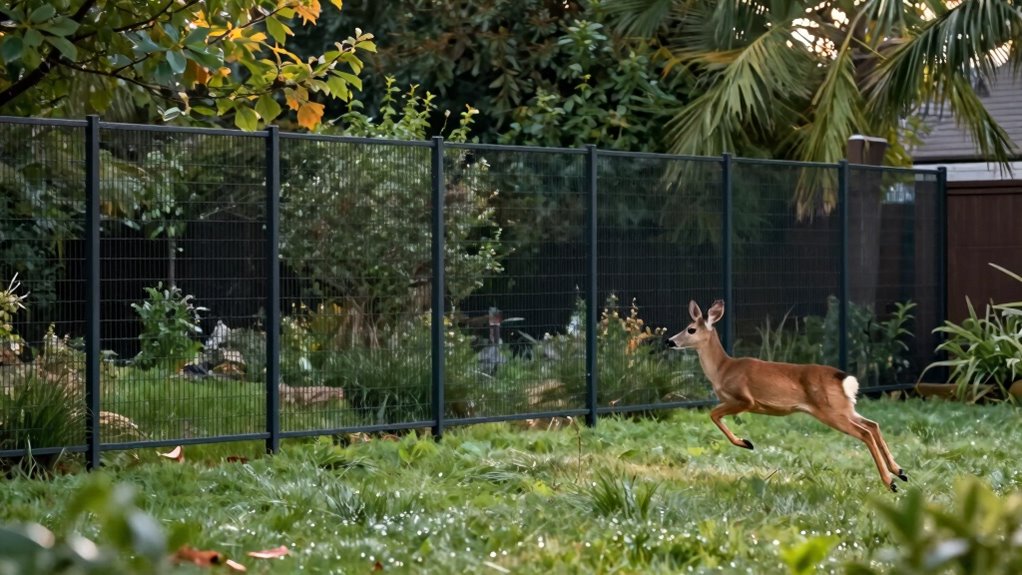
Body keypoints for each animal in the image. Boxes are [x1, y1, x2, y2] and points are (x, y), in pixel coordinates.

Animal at [667, 299, 907, 492]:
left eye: (690, 329)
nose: (669, 341)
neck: (722, 369)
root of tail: (844, 379)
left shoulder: (745, 399)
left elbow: (713, 414)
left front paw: (746, 443)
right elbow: (715, 415)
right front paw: (746, 442)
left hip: (830, 411)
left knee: (865, 432)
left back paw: (890, 482)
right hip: (845, 408)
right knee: (873, 425)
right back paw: (900, 471)